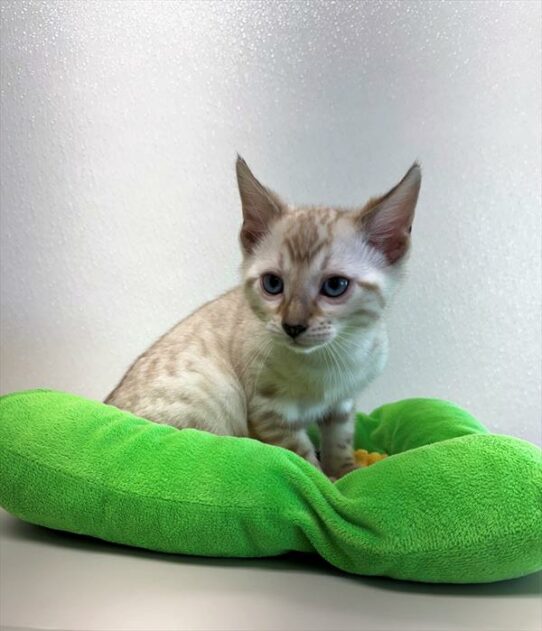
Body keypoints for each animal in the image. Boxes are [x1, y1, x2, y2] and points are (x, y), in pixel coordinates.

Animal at [105, 158, 420, 478]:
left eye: (335, 286)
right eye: (272, 284)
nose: (293, 326)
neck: (330, 361)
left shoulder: (341, 404)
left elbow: (340, 443)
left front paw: (348, 472)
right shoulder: (268, 411)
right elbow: (303, 460)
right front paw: (327, 480)